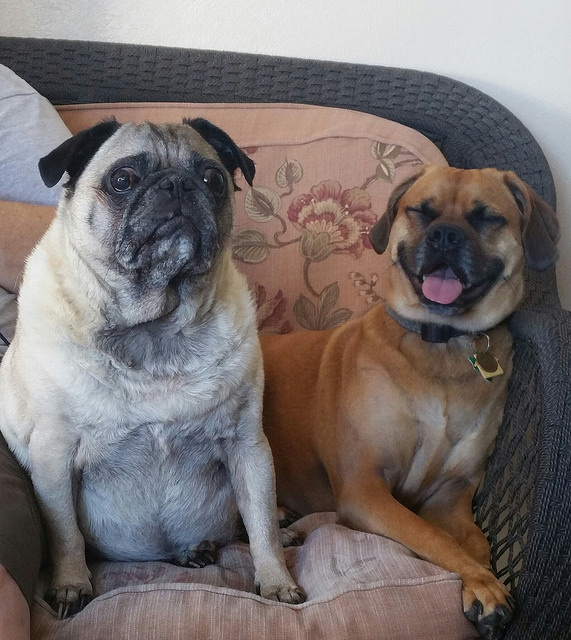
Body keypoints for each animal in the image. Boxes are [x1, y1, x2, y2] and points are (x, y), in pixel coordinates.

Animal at [0, 118, 304, 618]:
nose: (177, 184)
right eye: (122, 180)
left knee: (254, 522)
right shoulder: (53, 455)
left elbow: (261, 526)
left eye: (212, 179)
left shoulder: (248, 446)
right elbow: (64, 532)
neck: (155, 330)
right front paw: (70, 584)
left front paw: (277, 582)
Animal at [261, 165, 559, 639]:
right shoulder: (364, 488)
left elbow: (475, 542)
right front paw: (484, 585)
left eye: (486, 217)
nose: (446, 237)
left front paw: (482, 578)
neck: (441, 344)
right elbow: (432, 536)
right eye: (421, 211)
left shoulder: (451, 495)